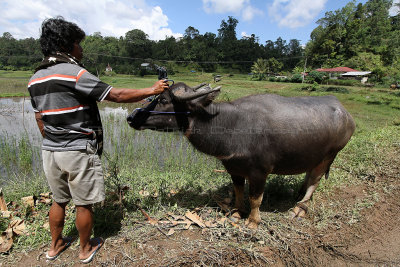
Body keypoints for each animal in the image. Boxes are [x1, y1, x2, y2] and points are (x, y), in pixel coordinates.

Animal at [126, 82, 354, 229]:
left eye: (164, 100)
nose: (130, 117)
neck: (231, 125)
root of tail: (346, 114)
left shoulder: (260, 171)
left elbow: (255, 198)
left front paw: (253, 222)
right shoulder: (233, 168)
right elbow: (237, 191)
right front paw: (236, 213)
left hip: (330, 155)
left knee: (315, 180)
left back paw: (300, 208)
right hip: (314, 156)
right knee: (309, 175)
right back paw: (298, 195)